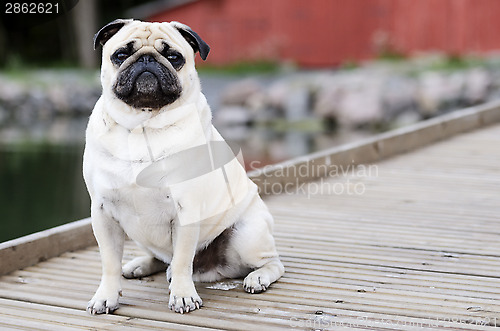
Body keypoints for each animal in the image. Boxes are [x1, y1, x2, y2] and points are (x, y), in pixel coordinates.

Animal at [84, 19, 284, 316]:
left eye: (174, 57)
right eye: (120, 55)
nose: (146, 59)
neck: (143, 125)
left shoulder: (186, 212)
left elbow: (181, 262)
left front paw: (182, 296)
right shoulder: (102, 213)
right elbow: (109, 263)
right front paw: (105, 296)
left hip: (247, 235)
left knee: (272, 262)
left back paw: (258, 277)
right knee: (161, 258)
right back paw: (140, 264)